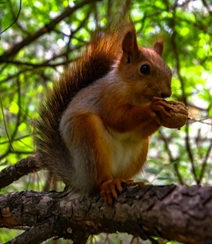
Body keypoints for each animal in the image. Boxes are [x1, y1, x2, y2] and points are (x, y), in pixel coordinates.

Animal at [35, 22, 174, 204]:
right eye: (144, 68)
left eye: (170, 71)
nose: (167, 93)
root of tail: (79, 179)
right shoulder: (107, 98)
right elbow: (118, 119)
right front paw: (152, 108)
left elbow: (140, 130)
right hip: (88, 138)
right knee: (99, 181)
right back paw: (108, 184)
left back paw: (129, 181)